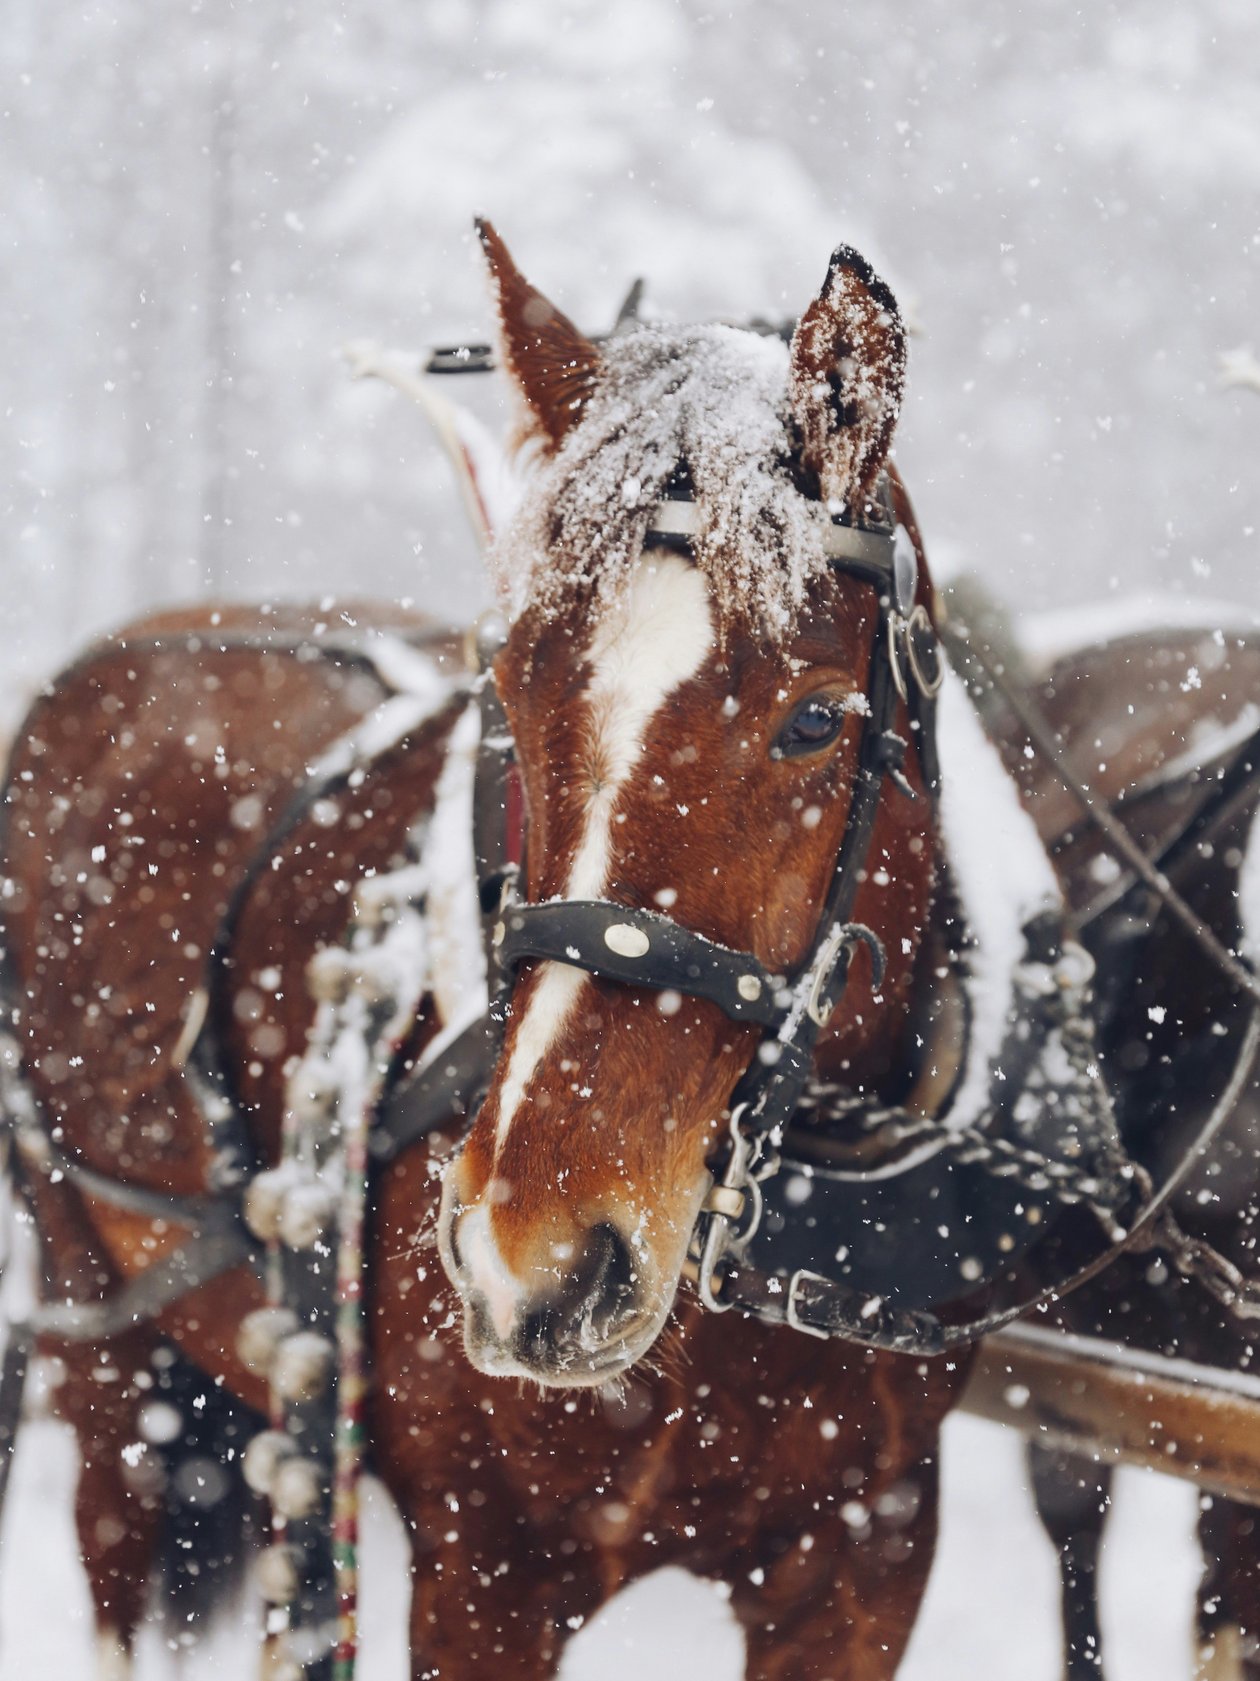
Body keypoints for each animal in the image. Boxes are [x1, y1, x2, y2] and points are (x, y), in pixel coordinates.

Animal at [3, 221, 1259, 1681]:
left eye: (816, 719)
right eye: (513, 681)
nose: (530, 1258)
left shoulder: (866, 1552)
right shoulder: (487, 1576)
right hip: (94, 1308)